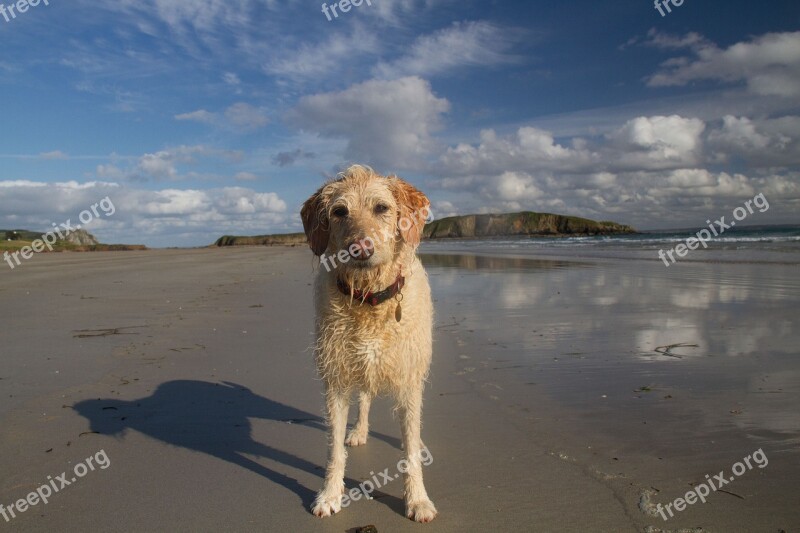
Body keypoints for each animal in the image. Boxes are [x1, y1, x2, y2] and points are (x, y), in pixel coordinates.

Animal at [300, 165, 438, 520]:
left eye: (382, 207)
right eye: (339, 211)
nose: (360, 248)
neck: (369, 299)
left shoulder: (409, 380)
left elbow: (410, 449)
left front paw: (417, 500)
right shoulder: (336, 380)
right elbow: (333, 449)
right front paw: (329, 495)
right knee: (363, 399)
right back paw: (359, 431)